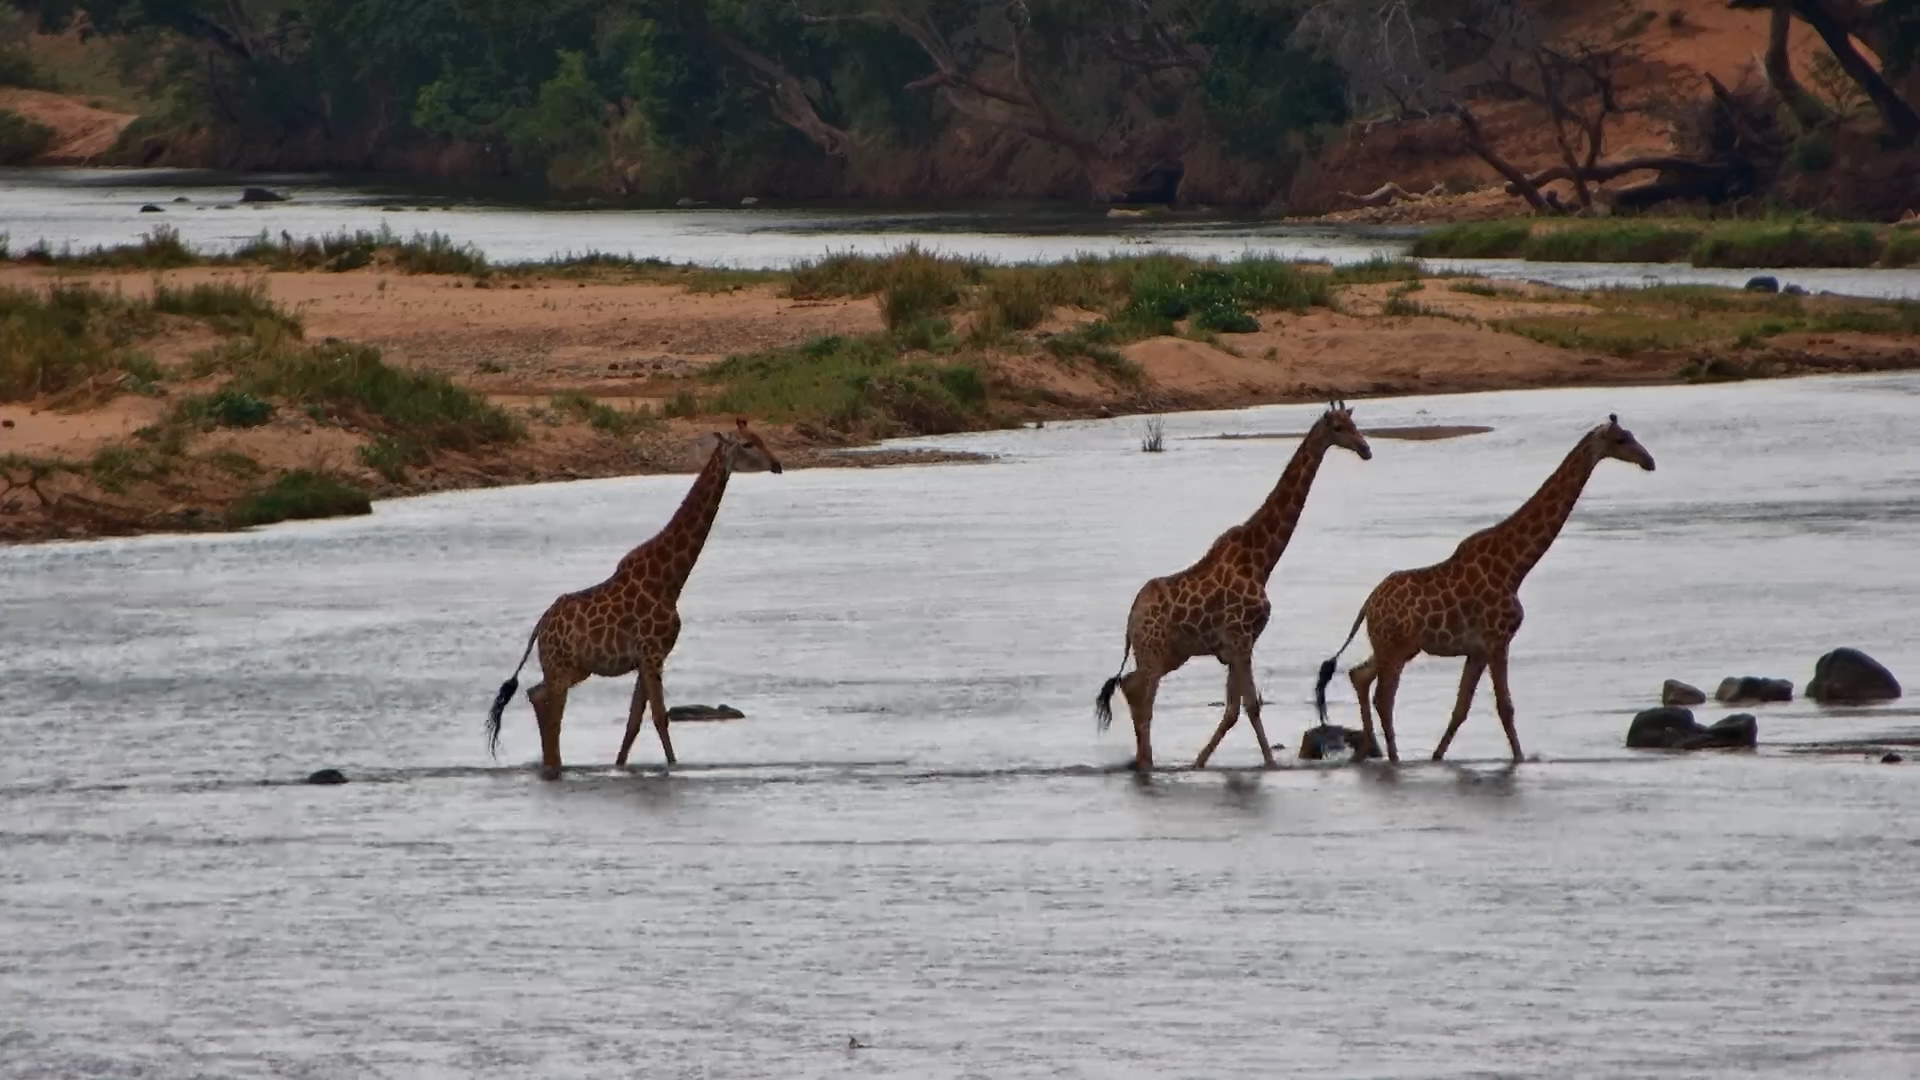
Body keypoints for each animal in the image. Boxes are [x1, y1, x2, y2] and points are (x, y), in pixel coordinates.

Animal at [485, 418, 783, 779]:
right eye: (748, 444)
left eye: (762, 438)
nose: (778, 465)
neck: (670, 581)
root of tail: (540, 626)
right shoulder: (652, 653)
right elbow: (660, 717)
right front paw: (674, 767)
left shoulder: (648, 657)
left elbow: (633, 723)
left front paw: (621, 766)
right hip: (560, 665)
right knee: (551, 707)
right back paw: (554, 765)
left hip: (575, 668)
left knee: (536, 695)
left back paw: (551, 765)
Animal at [1093, 402, 1374, 772]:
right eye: (1339, 428)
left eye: (1355, 423)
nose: (1366, 449)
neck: (1260, 561)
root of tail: (1130, 620)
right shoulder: (1241, 640)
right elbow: (1250, 705)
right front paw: (1269, 764)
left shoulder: (1233, 646)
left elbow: (1233, 709)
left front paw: (1200, 763)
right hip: (1153, 651)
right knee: (1143, 695)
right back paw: (1146, 762)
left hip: (1170, 653)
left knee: (1130, 687)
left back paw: (1145, 760)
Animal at [1312, 414, 1655, 764]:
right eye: (1622, 439)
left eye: (1631, 435)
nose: (1649, 461)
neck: (1515, 567)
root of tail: (1368, 604)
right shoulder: (1497, 640)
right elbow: (1505, 706)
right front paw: (1519, 758)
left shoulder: (1476, 649)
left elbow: (1461, 709)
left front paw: (1437, 757)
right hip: (1395, 646)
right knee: (1383, 696)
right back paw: (1393, 757)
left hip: (1397, 646)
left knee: (1360, 677)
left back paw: (1367, 753)